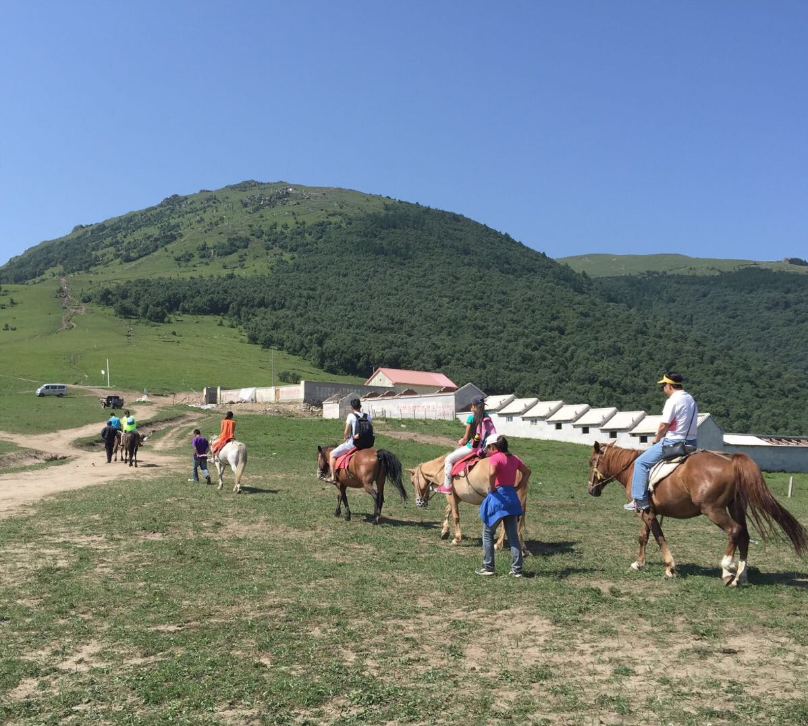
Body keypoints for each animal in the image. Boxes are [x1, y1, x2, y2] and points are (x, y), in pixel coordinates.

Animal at [588, 440, 808, 588]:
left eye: (591, 462)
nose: (591, 490)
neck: (633, 468)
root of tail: (730, 461)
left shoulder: (647, 512)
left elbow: (659, 537)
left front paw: (670, 567)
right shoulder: (646, 510)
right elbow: (643, 537)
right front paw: (638, 563)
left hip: (713, 510)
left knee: (734, 531)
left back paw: (727, 570)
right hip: (736, 507)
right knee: (744, 535)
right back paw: (740, 575)